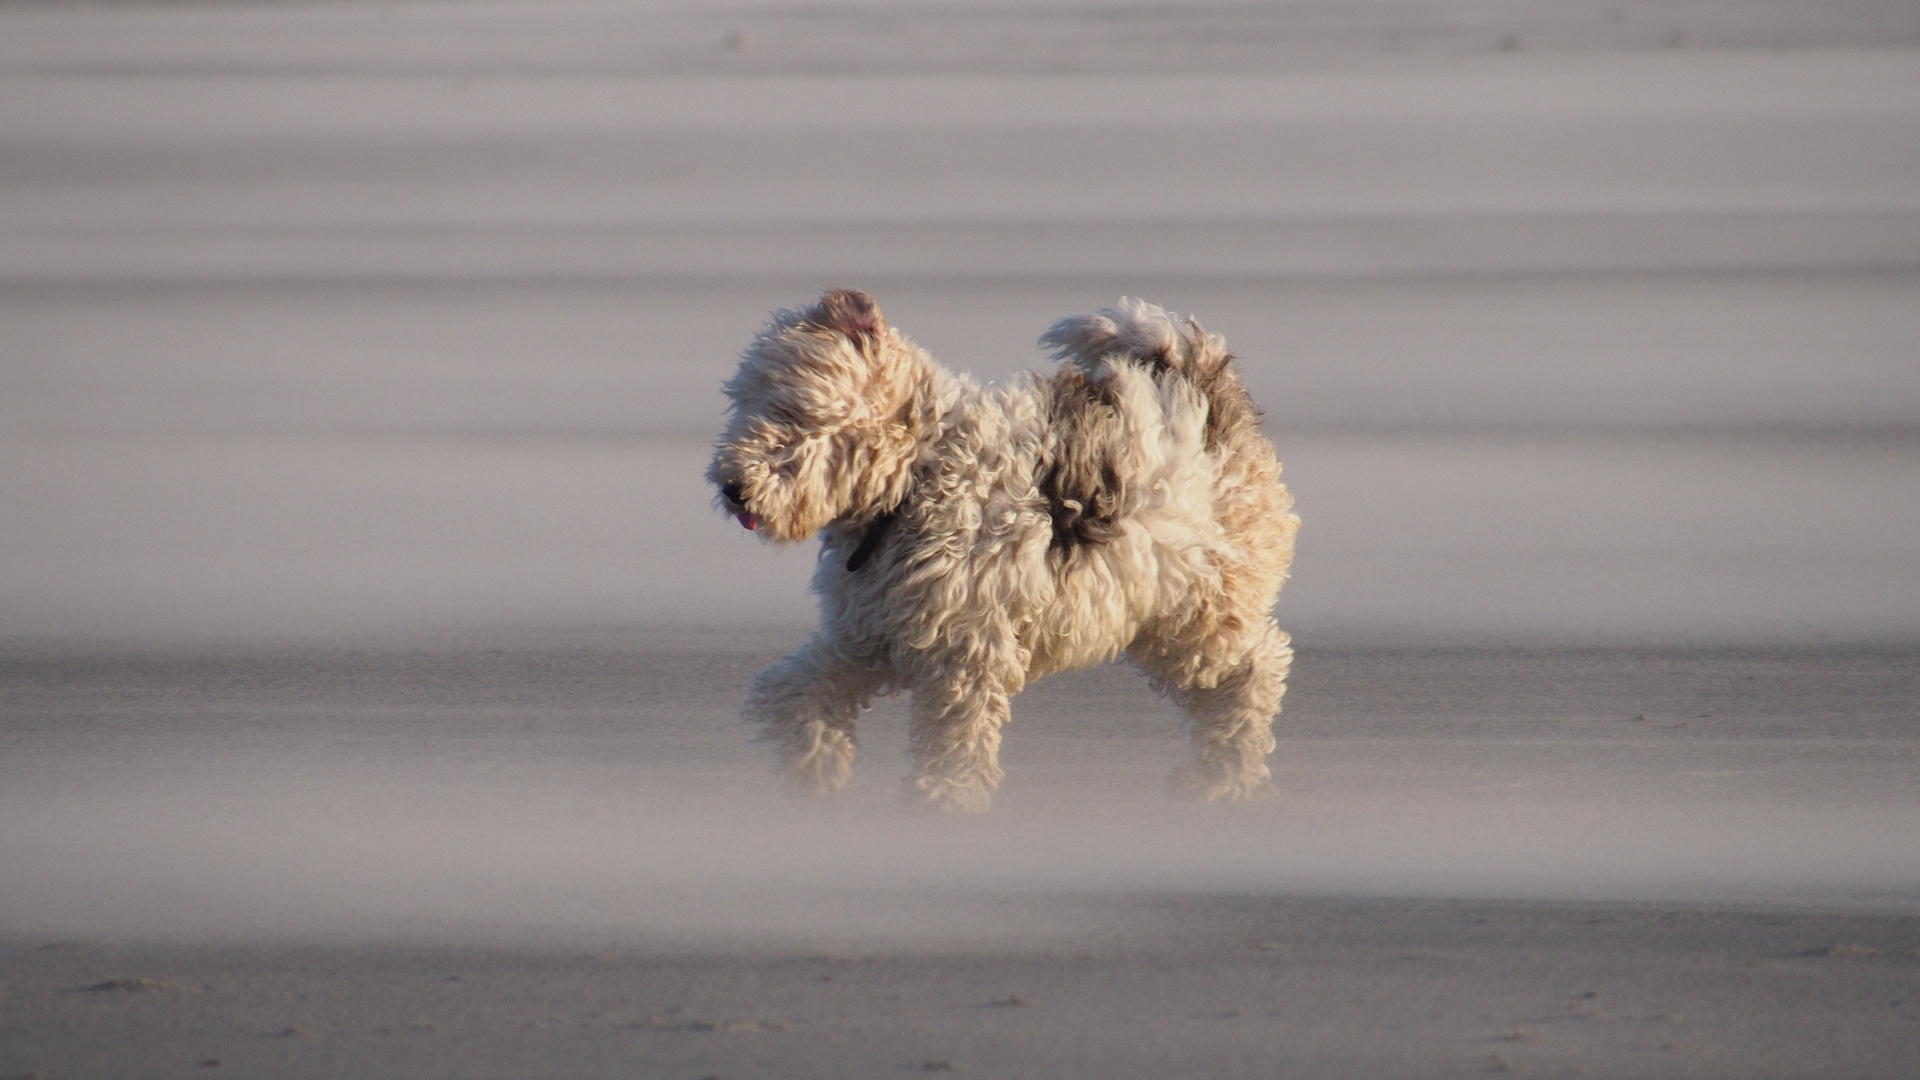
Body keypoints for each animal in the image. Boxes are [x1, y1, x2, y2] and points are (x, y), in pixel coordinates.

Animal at [714, 286, 1297, 807]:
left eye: (794, 415)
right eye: (743, 401)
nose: (732, 487)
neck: (920, 474)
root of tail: (1199, 389)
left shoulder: (966, 651)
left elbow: (956, 738)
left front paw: (945, 797)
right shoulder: (869, 632)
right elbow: (801, 690)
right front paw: (812, 762)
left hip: (1199, 608)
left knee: (1252, 670)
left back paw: (1225, 779)